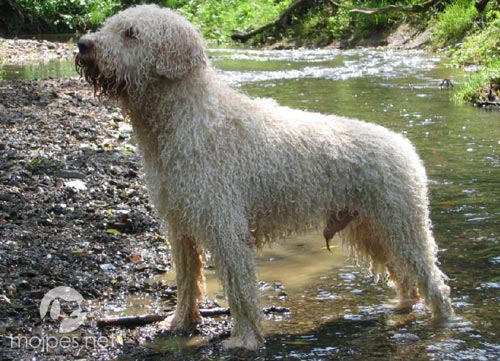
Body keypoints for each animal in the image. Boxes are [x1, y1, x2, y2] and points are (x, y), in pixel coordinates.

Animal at [76, 4, 456, 350]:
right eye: (111, 25)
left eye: (131, 33)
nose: (83, 44)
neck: (184, 120)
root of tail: (405, 145)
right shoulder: (180, 225)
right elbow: (186, 280)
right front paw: (180, 323)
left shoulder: (225, 227)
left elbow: (240, 290)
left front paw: (244, 339)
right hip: (370, 230)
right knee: (405, 277)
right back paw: (401, 307)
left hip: (401, 225)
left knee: (431, 279)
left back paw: (442, 322)